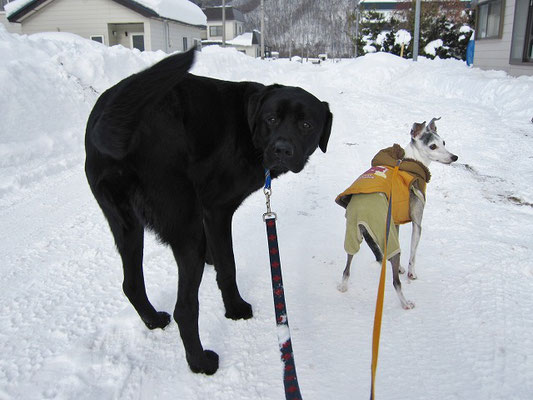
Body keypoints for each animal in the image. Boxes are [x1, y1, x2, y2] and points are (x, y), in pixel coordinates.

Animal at [84, 48, 330, 376]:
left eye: (306, 125)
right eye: (271, 119)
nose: (282, 150)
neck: (248, 123)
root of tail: (109, 113)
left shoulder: (204, 212)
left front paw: (211, 260)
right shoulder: (217, 210)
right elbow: (228, 266)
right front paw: (235, 308)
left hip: (126, 225)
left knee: (132, 284)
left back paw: (154, 320)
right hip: (184, 228)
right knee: (185, 309)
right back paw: (200, 362)